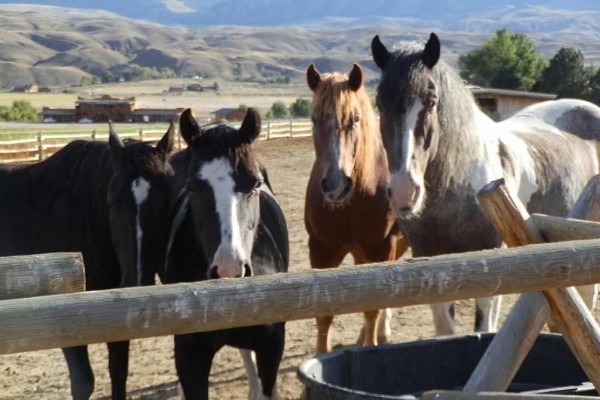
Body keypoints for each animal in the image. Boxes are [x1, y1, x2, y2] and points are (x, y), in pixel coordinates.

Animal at [0, 123, 175, 398]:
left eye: (167, 201)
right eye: (111, 202)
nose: (136, 281)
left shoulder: (119, 314)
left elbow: (119, 371)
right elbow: (83, 381)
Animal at [304, 62, 408, 354]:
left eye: (355, 119)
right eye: (314, 119)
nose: (336, 186)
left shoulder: (381, 247)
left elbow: (372, 307)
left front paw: (372, 343)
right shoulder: (321, 249)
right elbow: (323, 312)